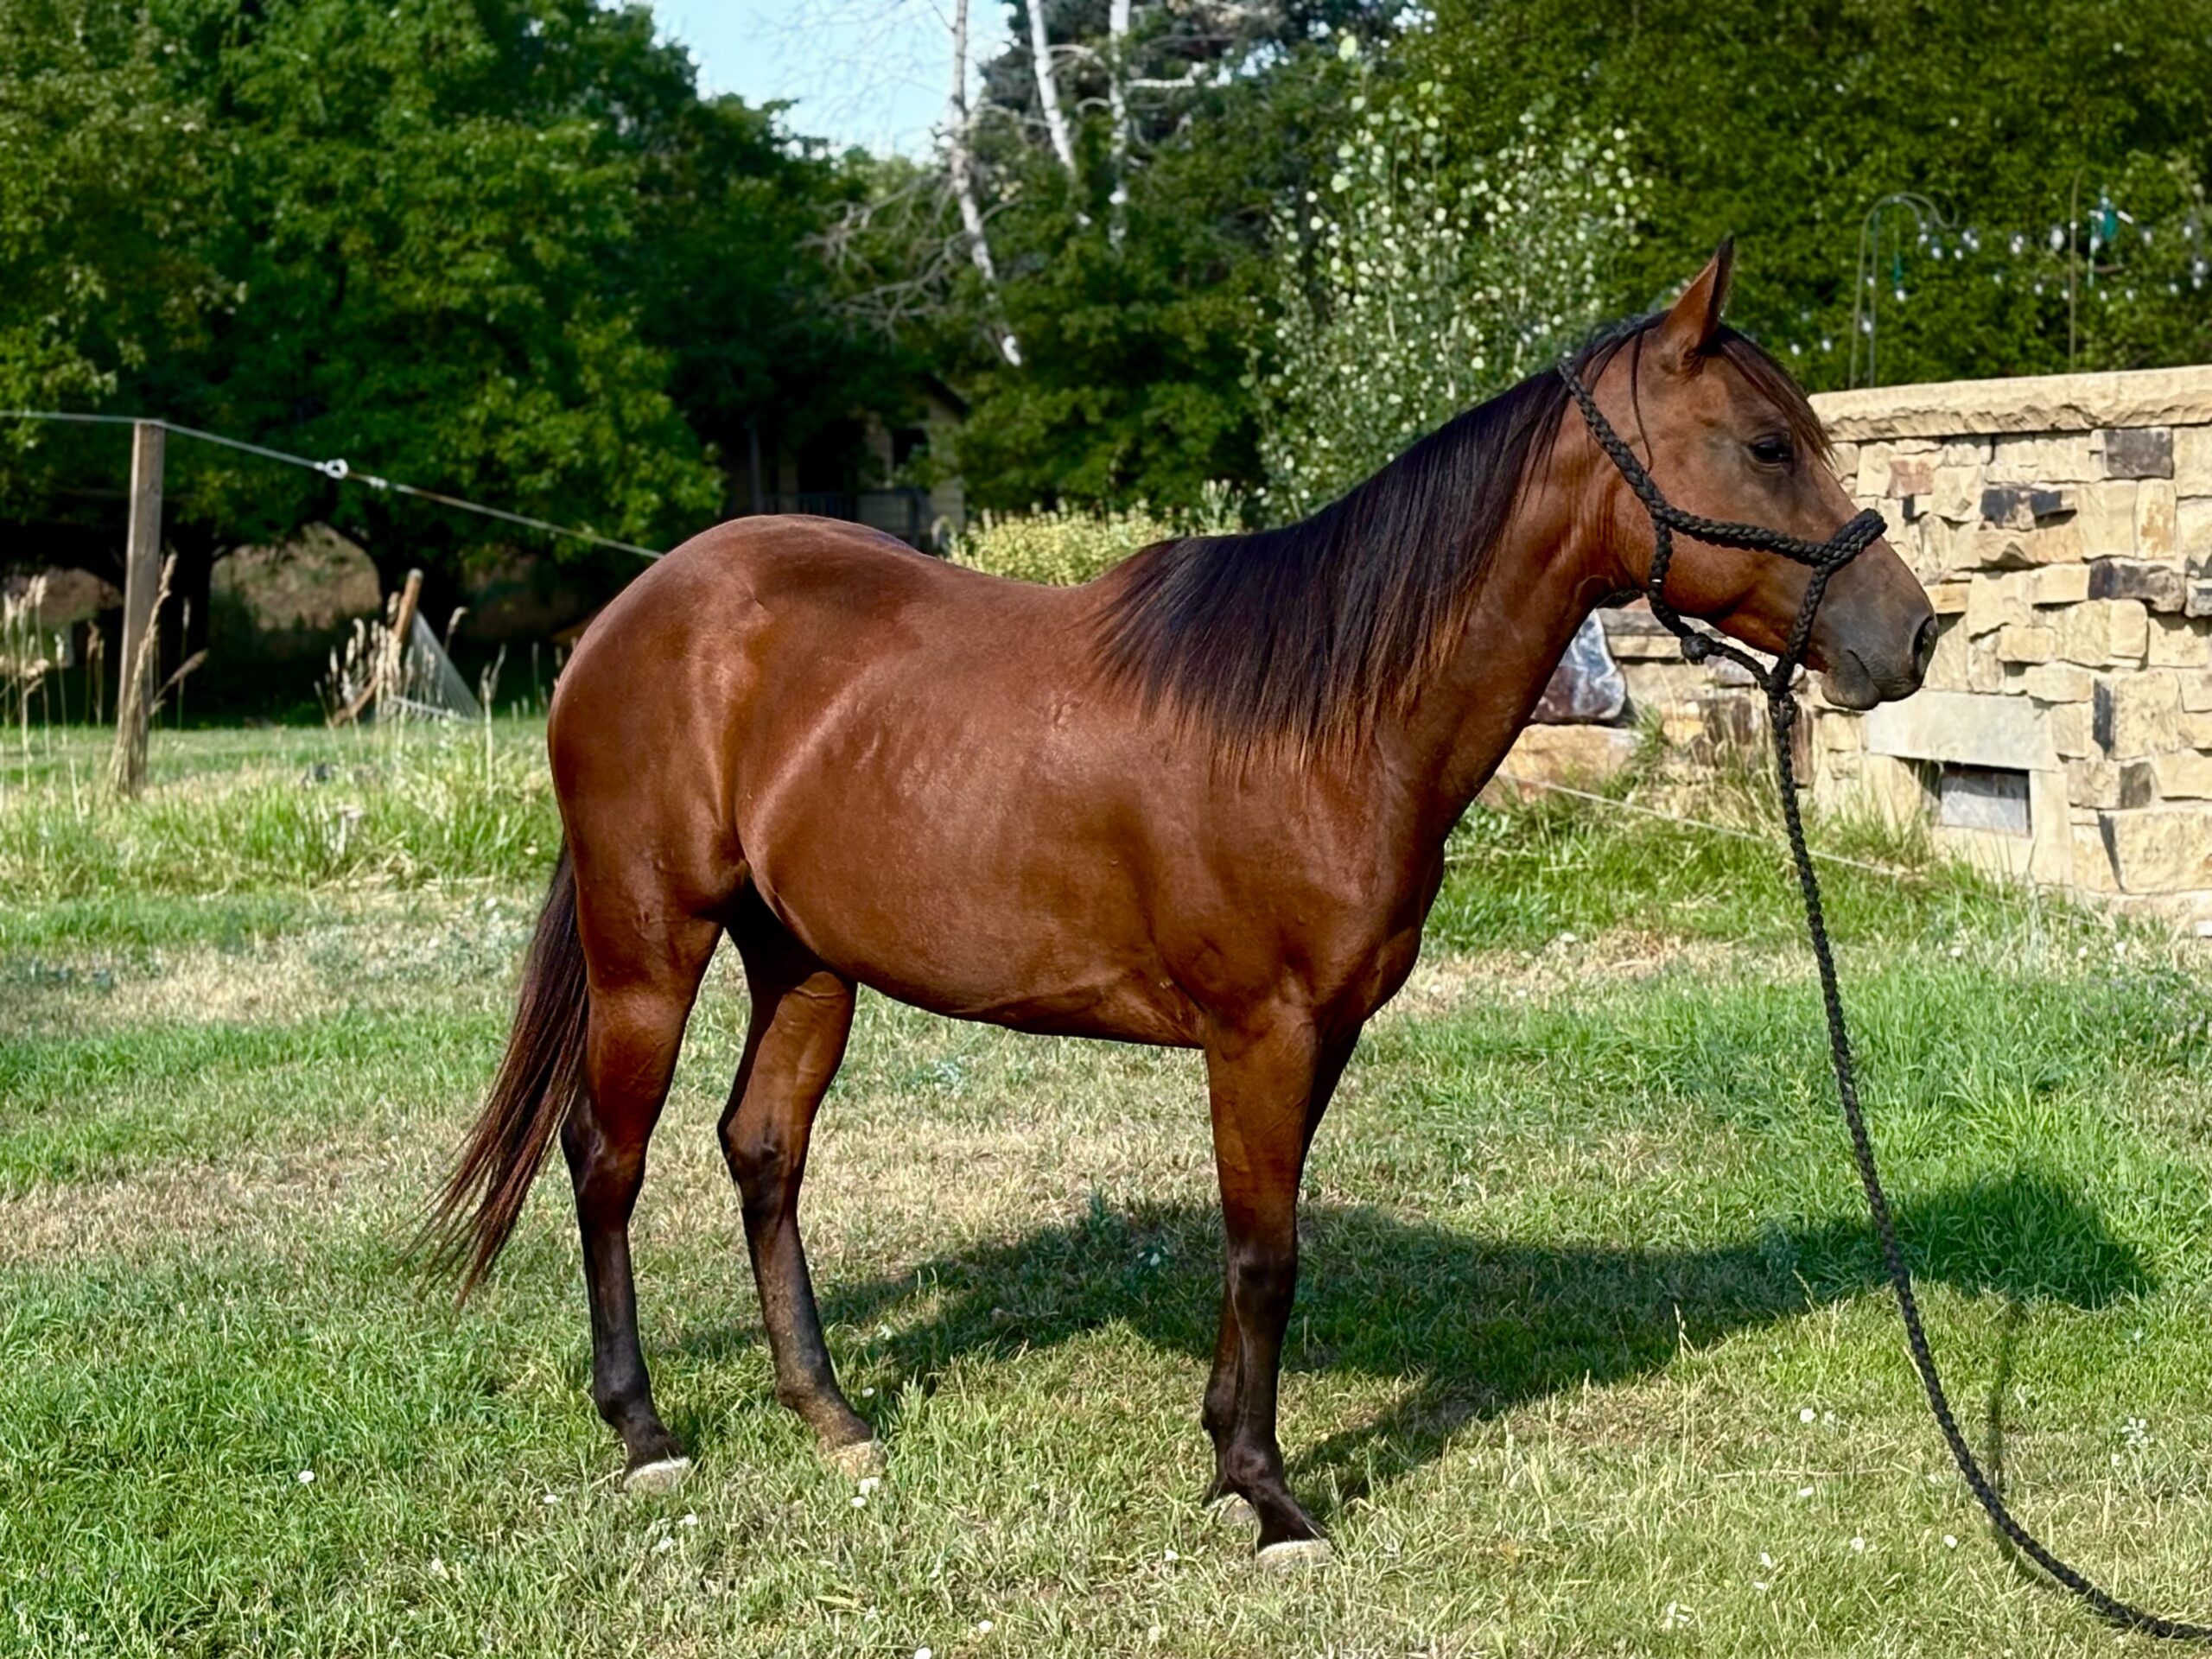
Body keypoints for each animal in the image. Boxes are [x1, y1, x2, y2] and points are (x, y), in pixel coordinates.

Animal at [425, 245, 1936, 1563]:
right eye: (1766, 447)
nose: (1911, 637)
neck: (1328, 712)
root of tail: (630, 616)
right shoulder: (1259, 1034)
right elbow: (1264, 1255)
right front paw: (1266, 1498)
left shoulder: (1321, 1035)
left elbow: (1260, 1251)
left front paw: (1229, 1462)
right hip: (649, 943)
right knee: (606, 1157)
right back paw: (643, 1433)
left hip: (802, 958)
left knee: (762, 1149)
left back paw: (833, 1418)